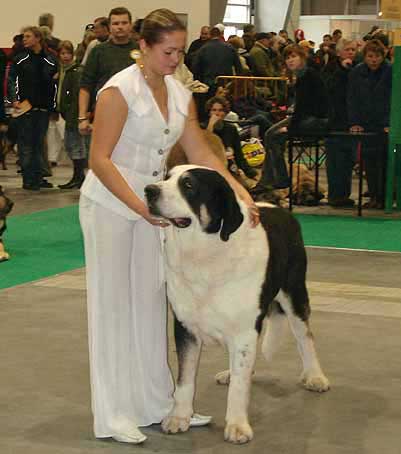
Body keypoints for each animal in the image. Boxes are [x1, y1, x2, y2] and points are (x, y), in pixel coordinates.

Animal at [144, 166, 328, 444]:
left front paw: (238, 426)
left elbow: (239, 388)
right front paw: (179, 418)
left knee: (304, 337)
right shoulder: (185, 327)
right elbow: (185, 379)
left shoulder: (244, 329)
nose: (149, 190)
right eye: (166, 177)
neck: (205, 255)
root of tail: (279, 209)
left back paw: (315, 376)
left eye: (188, 185)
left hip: (294, 292)